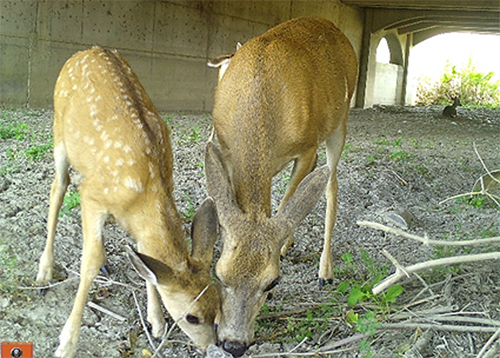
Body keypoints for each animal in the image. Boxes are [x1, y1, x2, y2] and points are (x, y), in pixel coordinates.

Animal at [35, 46, 221, 358]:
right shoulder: (92, 196)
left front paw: (156, 323)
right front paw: (66, 343)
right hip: (58, 129)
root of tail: (86, 50)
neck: (146, 190)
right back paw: (44, 272)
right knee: (58, 188)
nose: (212, 347)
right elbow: (88, 263)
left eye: (219, 307)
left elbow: (144, 259)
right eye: (192, 317)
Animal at [207, 17, 360, 358]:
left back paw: (325, 271)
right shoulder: (224, 147)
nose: (233, 344)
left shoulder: (305, 148)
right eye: (218, 273)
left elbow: (287, 201)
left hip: (340, 122)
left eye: (272, 283)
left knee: (331, 185)